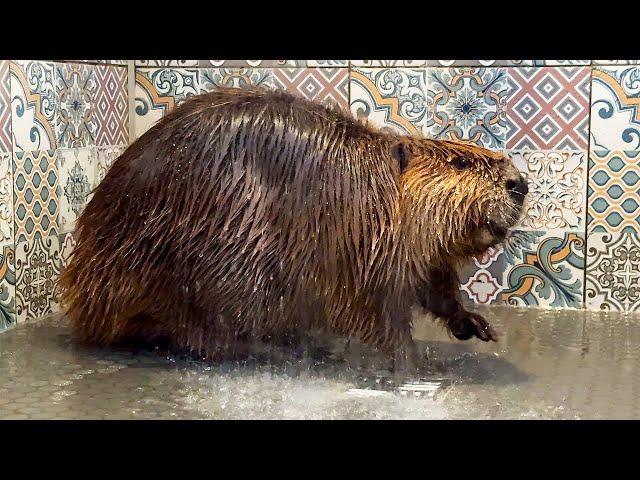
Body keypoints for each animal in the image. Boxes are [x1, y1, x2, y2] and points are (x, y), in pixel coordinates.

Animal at [58, 84, 528, 366]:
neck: (374, 182)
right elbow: (375, 311)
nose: (519, 183)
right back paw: (281, 349)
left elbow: (436, 284)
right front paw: (413, 365)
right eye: (461, 162)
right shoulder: (359, 241)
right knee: (204, 328)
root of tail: (87, 301)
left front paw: (476, 325)